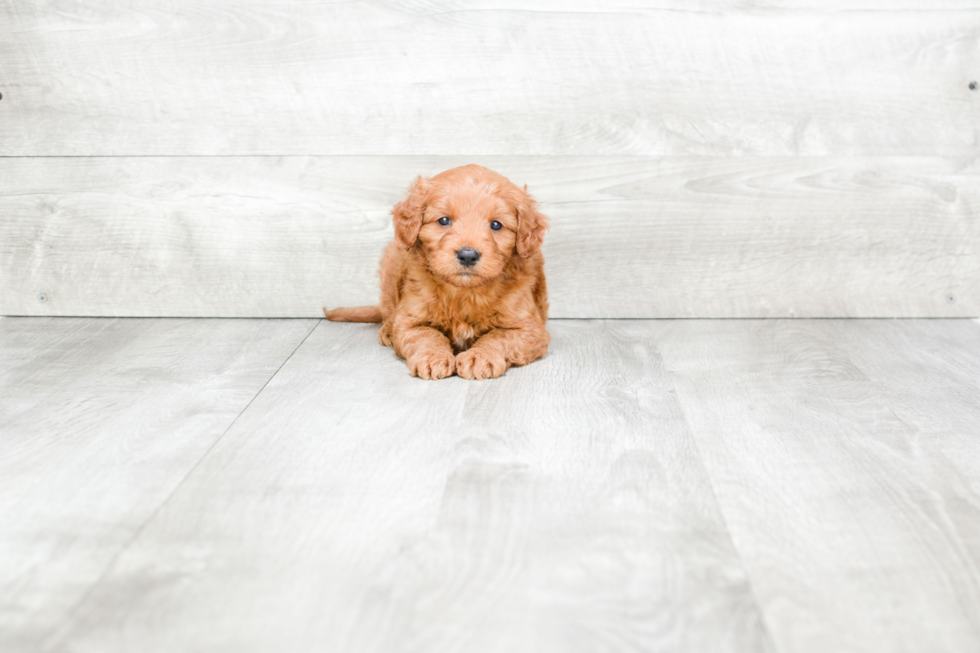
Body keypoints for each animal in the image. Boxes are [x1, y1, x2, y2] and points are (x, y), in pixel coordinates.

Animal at [324, 164, 548, 382]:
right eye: (444, 220)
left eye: (496, 224)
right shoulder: (410, 322)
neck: (464, 293)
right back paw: (387, 331)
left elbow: (498, 337)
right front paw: (433, 358)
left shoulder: (530, 329)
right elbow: (426, 335)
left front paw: (479, 357)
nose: (468, 255)